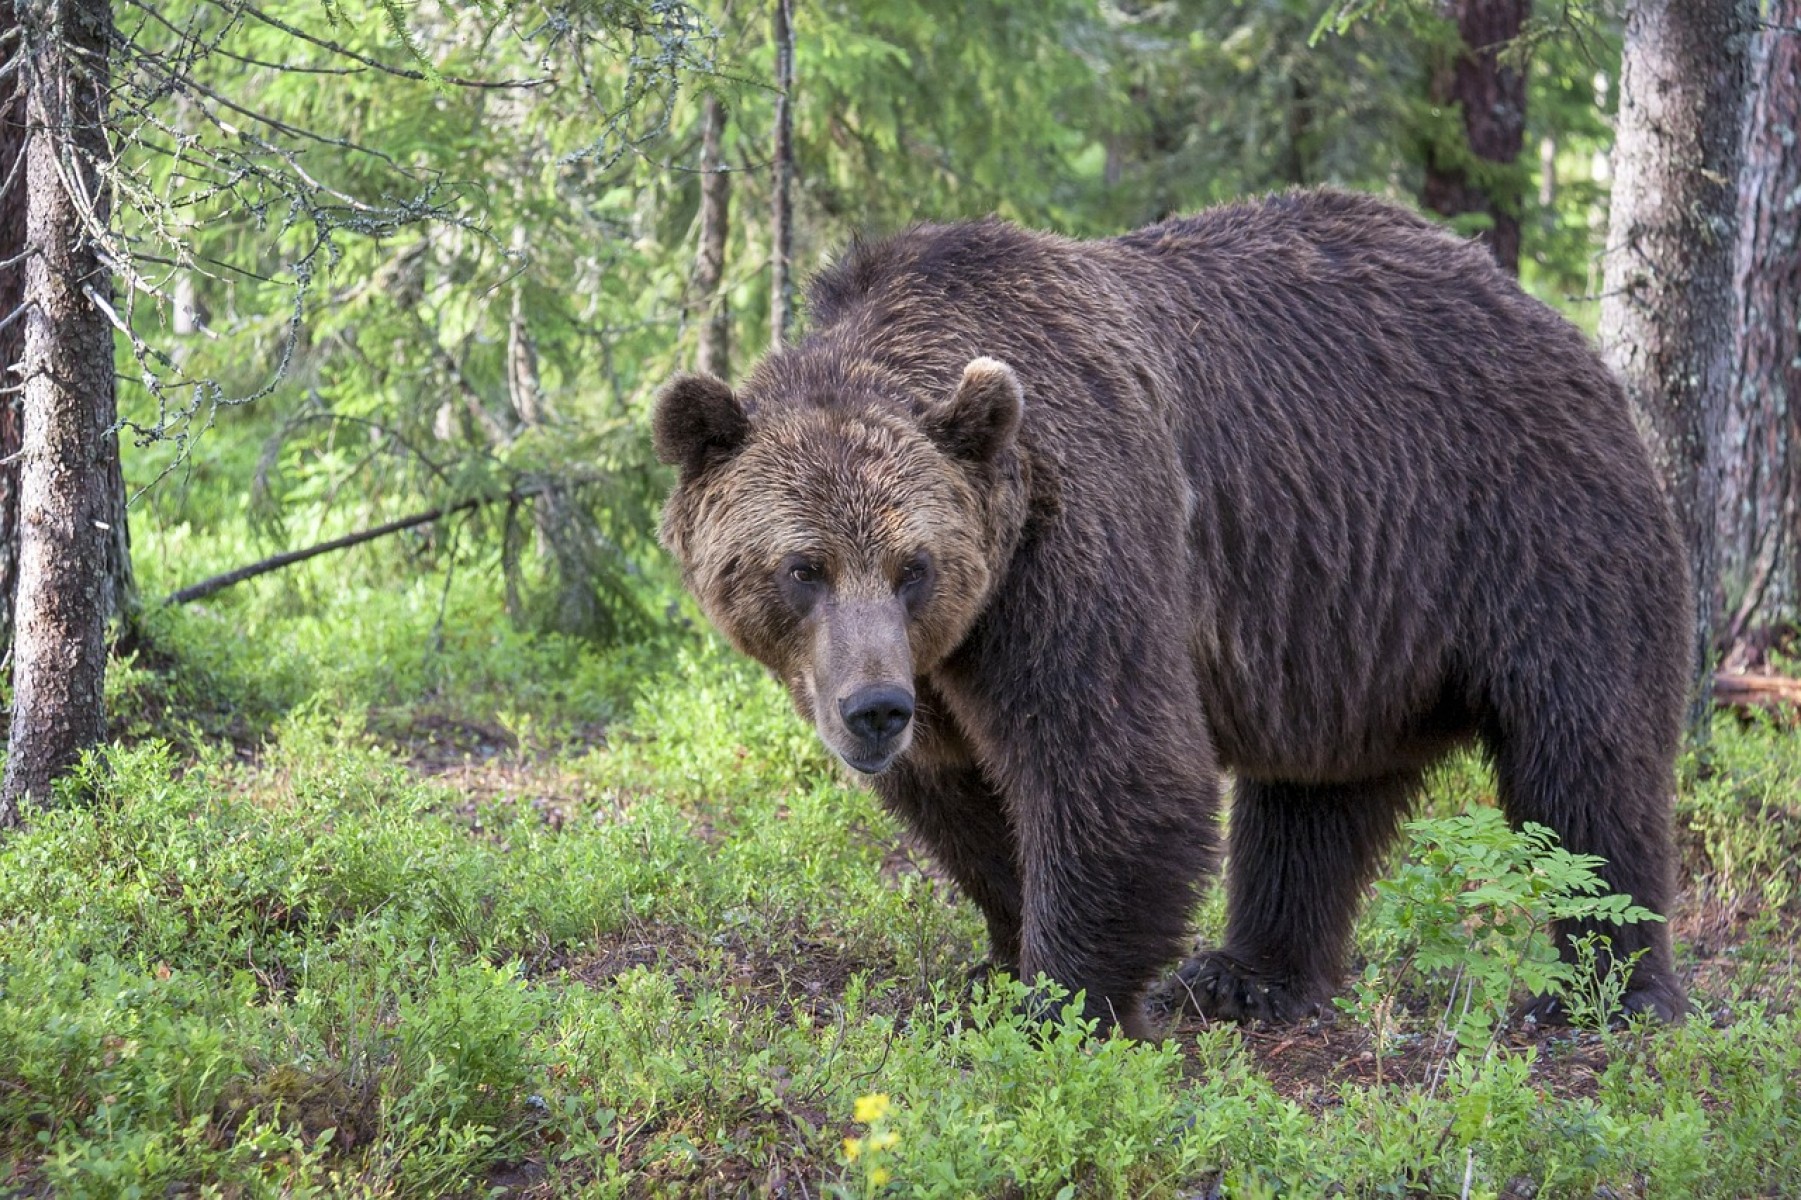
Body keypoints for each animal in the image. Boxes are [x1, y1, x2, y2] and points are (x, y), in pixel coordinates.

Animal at [659, 189, 1685, 1037]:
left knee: (1586, 763)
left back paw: (1602, 992)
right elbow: (960, 796)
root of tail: (1548, 318)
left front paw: (1061, 1001)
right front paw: (998, 959)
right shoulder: (945, 664)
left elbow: (1114, 761)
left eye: (915, 566)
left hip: (1535, 530)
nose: (874, 710)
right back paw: (1246, 976)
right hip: (1347, 622)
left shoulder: (1076, 542)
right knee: (1314, 799)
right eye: (804, 567)